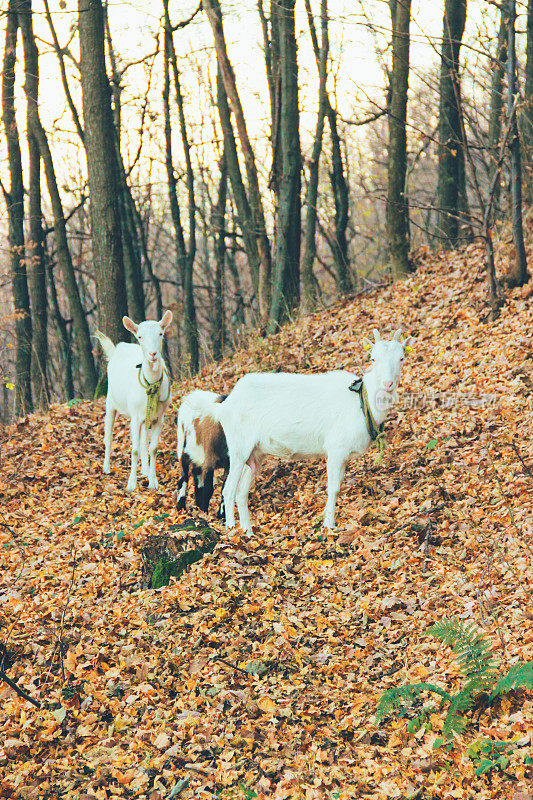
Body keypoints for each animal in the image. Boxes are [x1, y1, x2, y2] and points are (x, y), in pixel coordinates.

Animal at [94, 312, 171, 494]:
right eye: (140, 336)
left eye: (161, 333)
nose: (152, 354)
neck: (151, 385)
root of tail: (116, 349)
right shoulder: (135, 417)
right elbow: (134, 449)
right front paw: (131, 484)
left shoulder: (159, 418)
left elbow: (153, 448)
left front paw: (153, 482)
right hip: (110, 402)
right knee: (108, 436)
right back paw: (106, 468)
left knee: (143, 441)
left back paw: (145, 470)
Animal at [213, 328, 412, 536]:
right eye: (373, 358)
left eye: (401, 358)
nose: (387, 384)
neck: (361, 402)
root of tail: (224, 406)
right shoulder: (335, 448)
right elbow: (333, 488)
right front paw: (329, 525)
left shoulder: (344, 455)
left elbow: (339, 485)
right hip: (238, 447)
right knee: (228, 490)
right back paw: (232, 529)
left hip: (255, 454)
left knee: (241, 492)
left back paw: (249, 533)